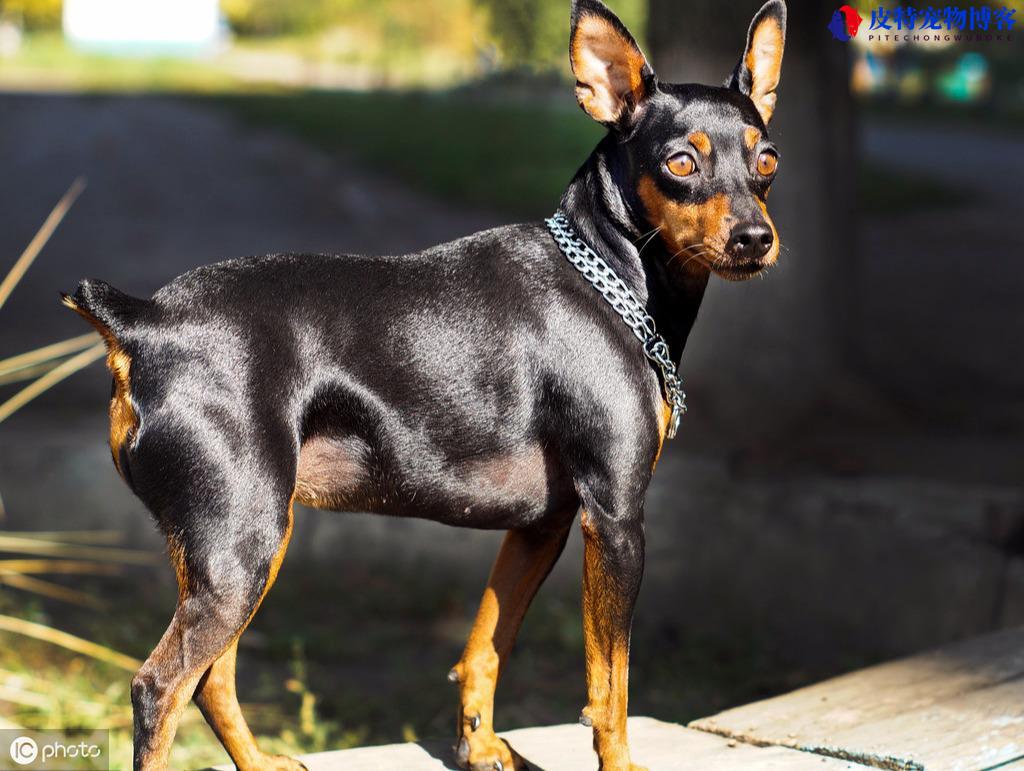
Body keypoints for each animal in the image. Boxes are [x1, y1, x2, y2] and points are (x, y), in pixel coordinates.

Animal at [61, 3, 782, 765]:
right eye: (681, 162)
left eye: (768, 161)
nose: (755, 238)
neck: (608, 273)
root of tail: (144, 322)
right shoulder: (614, 519)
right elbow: (609, 684)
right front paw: (617, 761)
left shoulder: (541, 524)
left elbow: (486, 644)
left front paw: (480, 744)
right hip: (241, 546)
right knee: (160, 686)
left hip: (244, 544)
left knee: (211, 677)